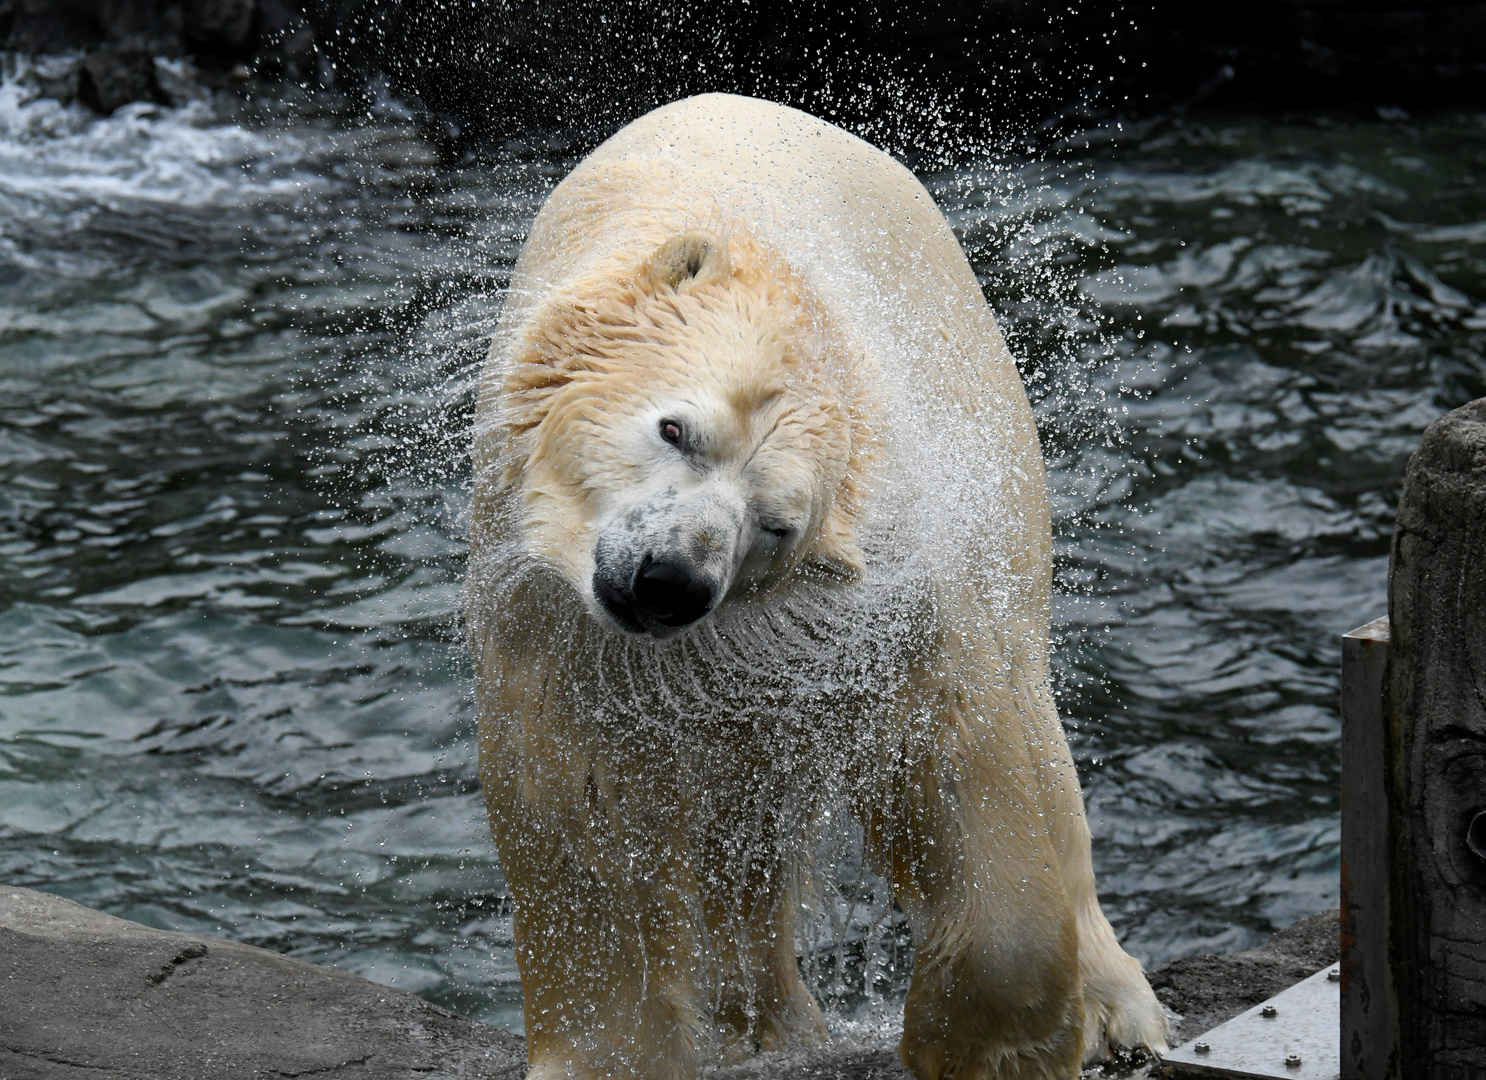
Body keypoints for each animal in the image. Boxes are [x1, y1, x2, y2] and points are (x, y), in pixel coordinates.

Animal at [469, 95, 1165, 1080]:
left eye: (776, 525)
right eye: (675, 428)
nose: (671, 581)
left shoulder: (884, 595)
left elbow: (954, 750)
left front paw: (987, 1044)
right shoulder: (558, 630)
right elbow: (583, 812)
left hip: (993, 438)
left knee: (1032, 712)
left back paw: (1114, 1005)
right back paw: (771, 1025)